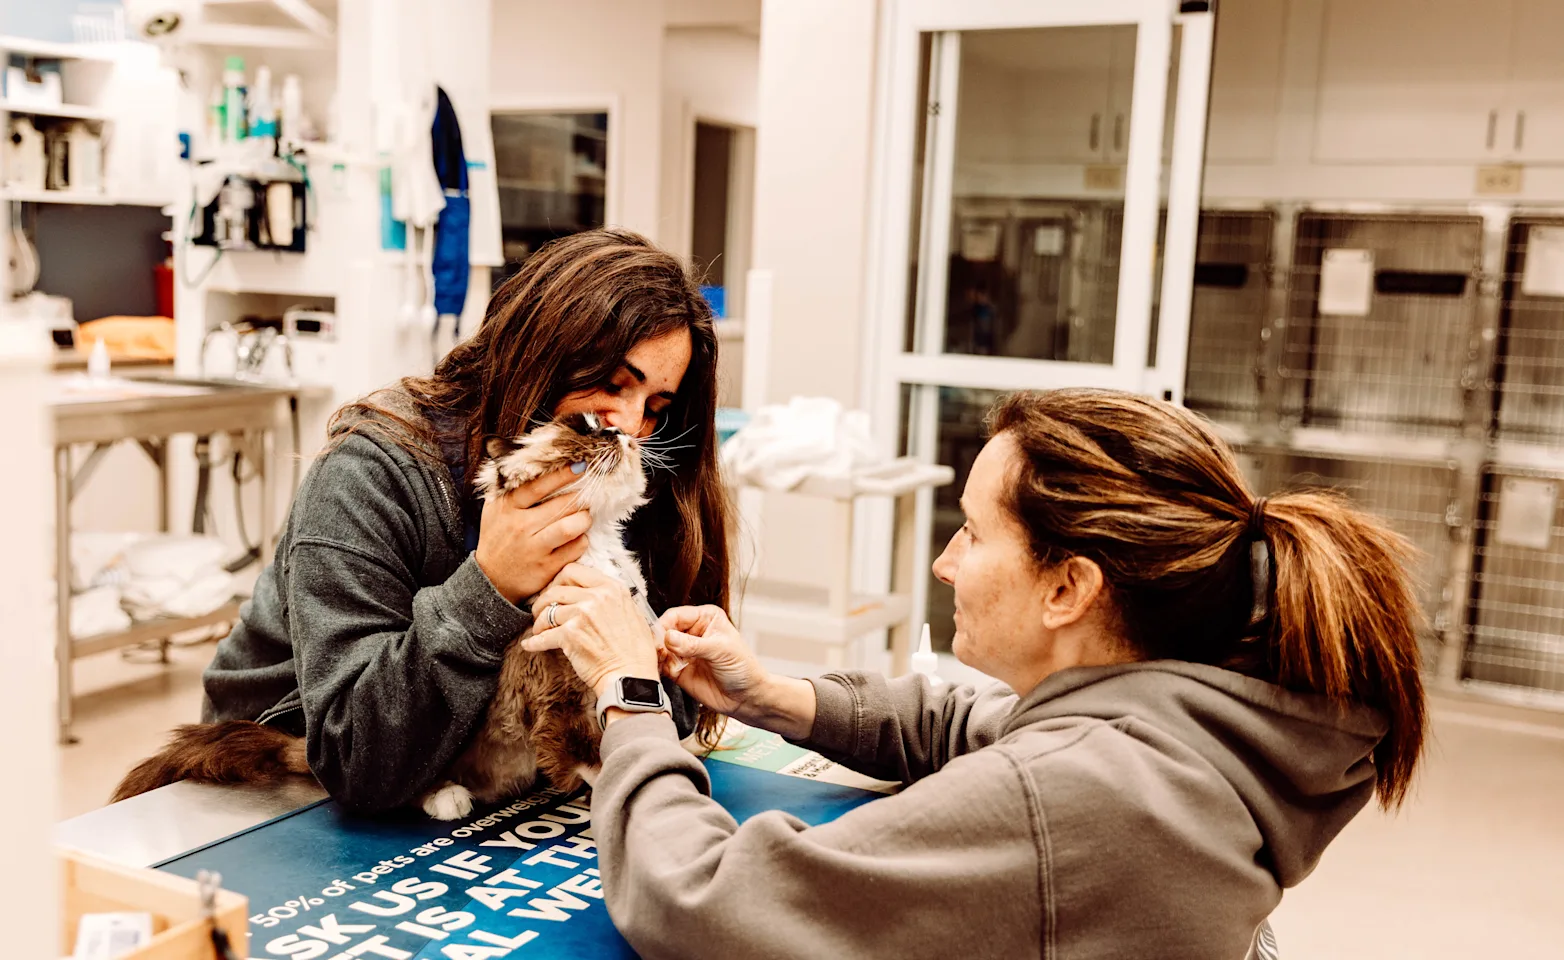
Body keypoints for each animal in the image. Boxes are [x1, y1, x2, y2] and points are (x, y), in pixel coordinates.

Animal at [110, 412, 656, 819]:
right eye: (586, 437)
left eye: (607, 426)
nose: (621, 433)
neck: (602, 555)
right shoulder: (559, 701)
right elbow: (600, 760)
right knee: (411, 785)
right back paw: (449, 799)